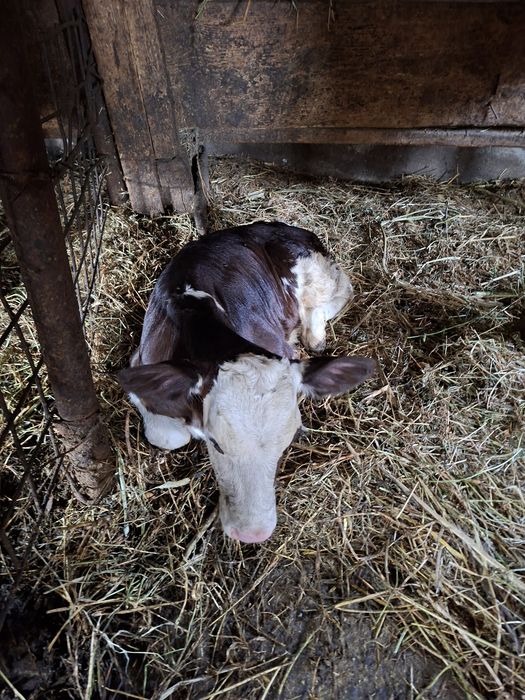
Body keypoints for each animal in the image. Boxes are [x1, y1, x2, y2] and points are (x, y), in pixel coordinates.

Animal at [118, 221, 375, 543]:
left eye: (291, 439)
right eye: (215, 443)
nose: (253, 534)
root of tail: (279, 225)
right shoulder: (141, 363)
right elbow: (169, 436)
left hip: (318, 273)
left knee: (342, 291)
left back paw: (314, 335)